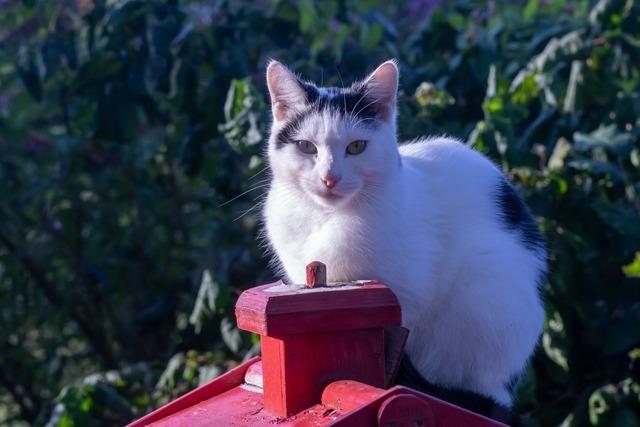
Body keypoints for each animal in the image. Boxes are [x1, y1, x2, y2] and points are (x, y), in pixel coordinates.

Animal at [260, 59, 544, 424]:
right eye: (306, 146)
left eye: (356, 147)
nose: (329, 178)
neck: (324, 218)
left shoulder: (409, 299)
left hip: (484, 291)